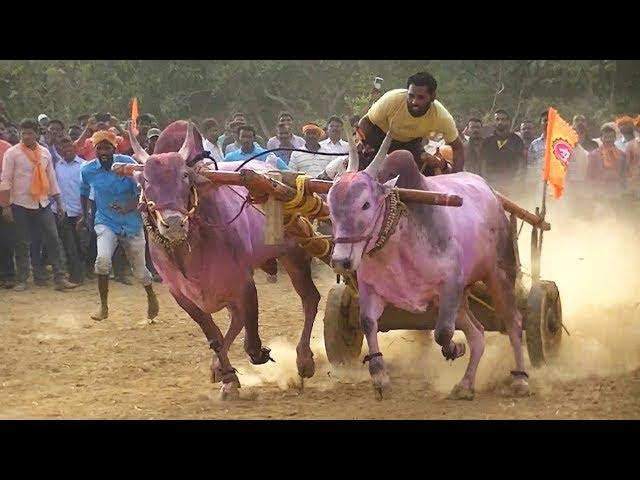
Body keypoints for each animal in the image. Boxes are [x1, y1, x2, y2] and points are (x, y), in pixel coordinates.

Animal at [328, 132, 528, 402]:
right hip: (461, 296)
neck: (396, 241)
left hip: (499, 275)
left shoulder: (450, 283)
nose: (340, 261)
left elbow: (442, 332)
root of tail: (492, 194)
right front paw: (380, 377)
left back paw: (520, 379)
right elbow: (368, 322)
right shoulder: (370, 288)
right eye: (329, 205)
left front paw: (455, 348)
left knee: (513, 322)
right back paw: (465, 384)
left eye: (365, 204)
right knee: (477, 333)